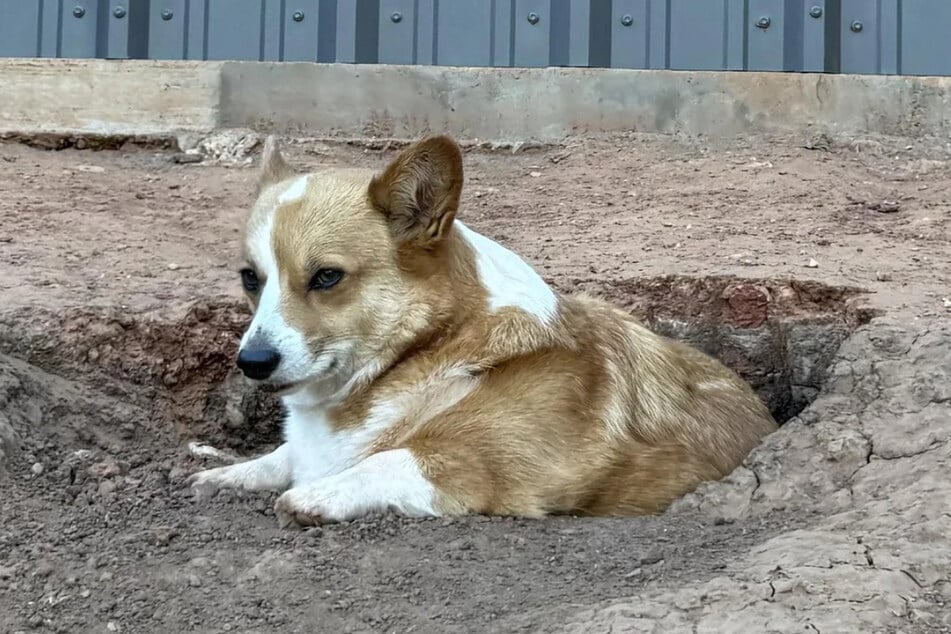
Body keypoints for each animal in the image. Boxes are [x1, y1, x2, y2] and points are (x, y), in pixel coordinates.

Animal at [190, 136, 776, 524]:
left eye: (326, 277)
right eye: (250, 278)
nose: (252, 363)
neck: (429, 348)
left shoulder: (494, 468)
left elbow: (393, 457)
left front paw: (315, 496)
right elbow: (283, 457)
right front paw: (230, 474)